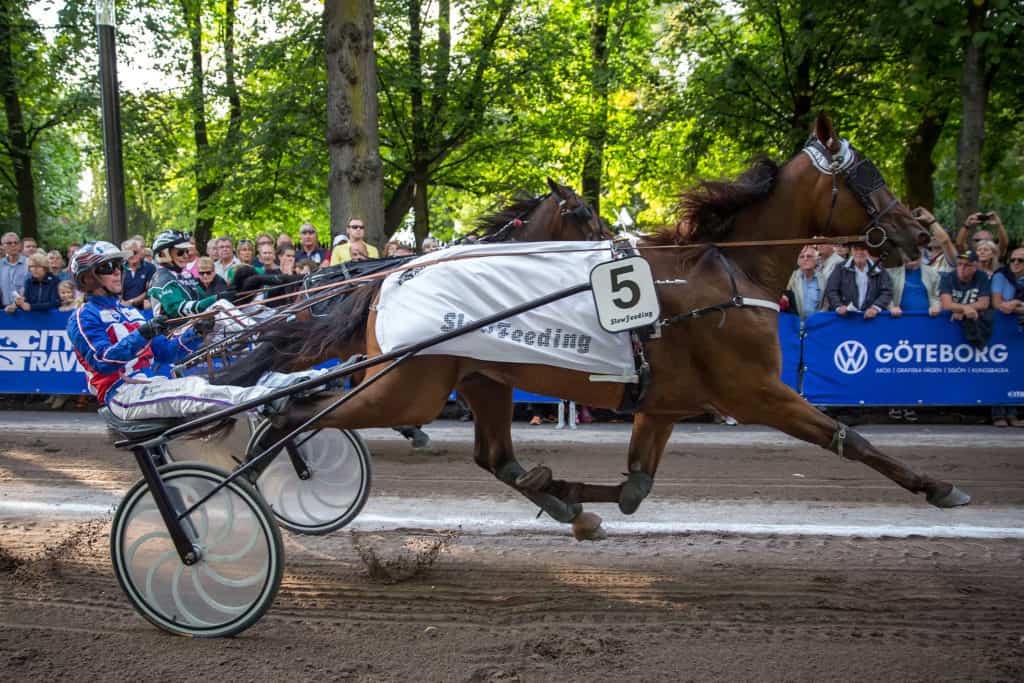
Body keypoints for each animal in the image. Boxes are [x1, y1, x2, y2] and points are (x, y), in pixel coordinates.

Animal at [238, 114, 971, 541]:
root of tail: (394, 277)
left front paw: (566, 492)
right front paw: (940, 487)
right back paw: (249, 483)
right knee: (295, 412)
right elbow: (850, 436)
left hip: (481, 378)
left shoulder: (664, 401)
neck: (727, 271)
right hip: (407, 386)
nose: (915, 233)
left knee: (494, 457)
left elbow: (636, 489)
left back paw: (567, 506)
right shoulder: (755, 390)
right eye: (868, 175)